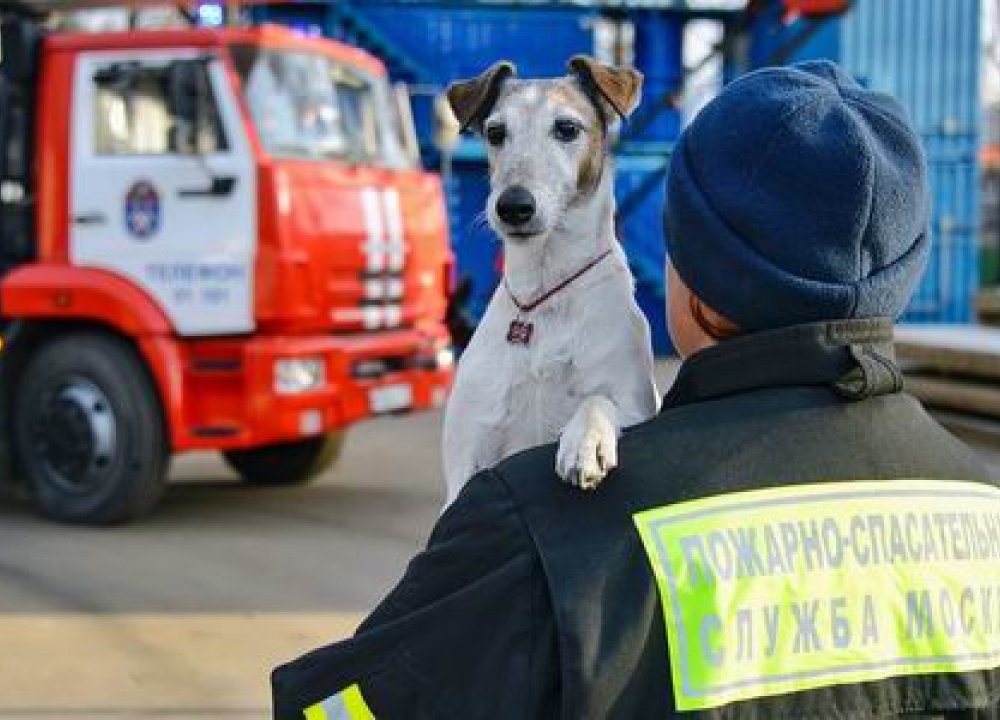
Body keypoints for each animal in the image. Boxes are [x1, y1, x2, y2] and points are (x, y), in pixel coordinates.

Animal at [442, 56, 660, 506]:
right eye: (495, 132)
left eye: (566, 128)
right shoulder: (464, 462)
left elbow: (597, 399)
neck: (543, 296)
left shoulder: (634, 404)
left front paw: (585, 443)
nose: (513, 206)